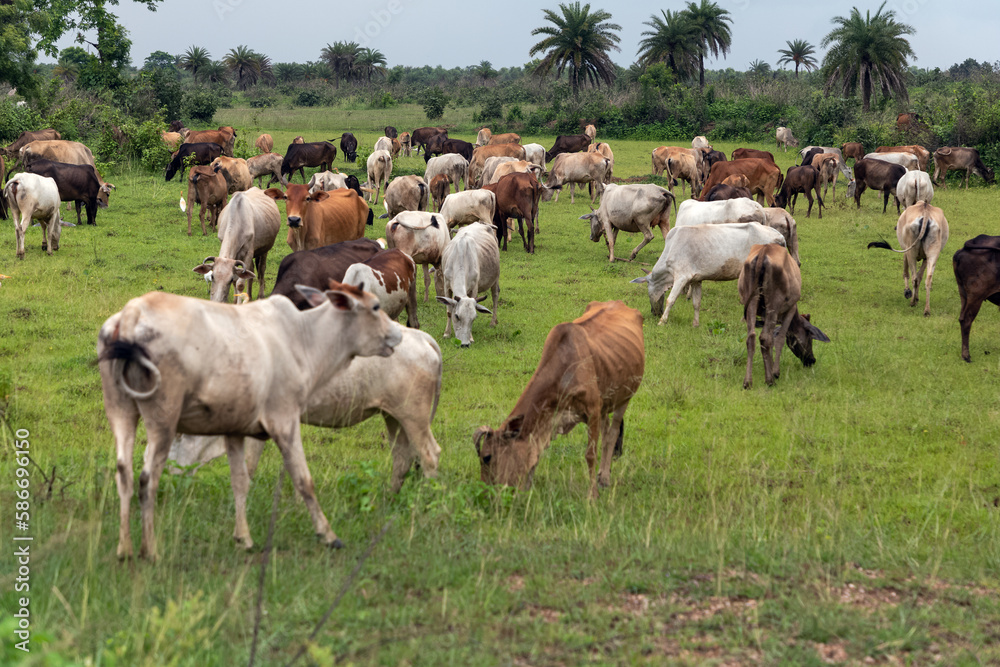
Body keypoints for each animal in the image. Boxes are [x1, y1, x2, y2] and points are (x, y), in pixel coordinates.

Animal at [97, 282, 403, 560]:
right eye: (375, 307)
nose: (398, 334)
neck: (304, 339)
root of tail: (133, 311)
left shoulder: (233, 428)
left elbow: (240, 481)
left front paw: (242, 537)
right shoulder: (285, 419)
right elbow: (303, 480)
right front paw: (328, 535)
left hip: (120, 409)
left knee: (124, 471)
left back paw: (124, 549)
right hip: (163, 417)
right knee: (148, 479)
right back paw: (149, 550)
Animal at [167, 326, 441, 491]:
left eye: (177, 438)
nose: (169, 472)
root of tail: (421, 337)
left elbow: (249, 465)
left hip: (414, 415)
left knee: (429, 454)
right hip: (393, 415)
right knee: (402, 457)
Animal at [473, 300, 643, 496]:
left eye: (487, 457)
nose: (484, 491)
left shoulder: (593, 410)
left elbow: (590, 455)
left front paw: (592, 495)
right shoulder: (551, 420)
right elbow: (535, 457)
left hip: (624, 397)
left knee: (613, 432)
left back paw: (605, 479)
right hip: (605, 402)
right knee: (607, 433)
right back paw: (602, 474)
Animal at [631, 222, 786, 327]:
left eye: (648, 291)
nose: (654, 312)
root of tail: (779, 235)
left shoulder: (682, 277)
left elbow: (671, 300)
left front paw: (662, 321)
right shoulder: (696, 279)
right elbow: (696, 302)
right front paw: (695, 324)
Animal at [739, 243, 830, 389]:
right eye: (810, 337)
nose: (811, 360)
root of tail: (763, 252)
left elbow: (771, 339)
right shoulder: (790, 309)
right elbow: (780, 338)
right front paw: (775, 371)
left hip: (751, 300)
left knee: (752, 336)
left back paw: (747, 382)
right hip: (774, 303)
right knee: (764, 337)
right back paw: (770, 380)